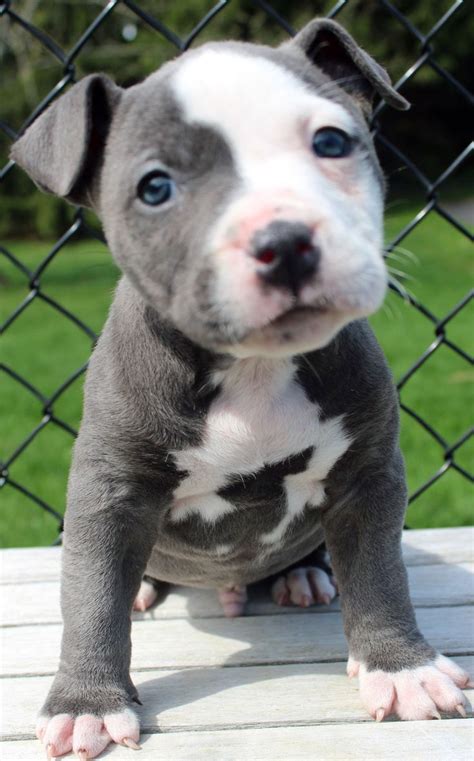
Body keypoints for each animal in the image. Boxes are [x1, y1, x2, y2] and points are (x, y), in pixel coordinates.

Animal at [11, 17, 470, 760]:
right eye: (155, 187)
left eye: (331, 142)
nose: (284, 240)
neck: (252, 367)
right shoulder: (109, 491)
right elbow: (90, 598)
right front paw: (86, 704)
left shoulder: (369, 474)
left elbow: (380, 574)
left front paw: (403, 670)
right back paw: (144, 588)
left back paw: (302, 574)